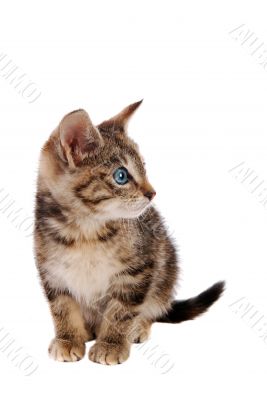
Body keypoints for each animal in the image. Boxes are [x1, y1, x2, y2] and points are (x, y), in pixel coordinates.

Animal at [34, 101, 226, 364]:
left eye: (144, 167)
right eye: (121, 176)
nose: (152, 193)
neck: (85, 230)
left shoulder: (138, 270)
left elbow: (121, 311)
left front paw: (111, 344)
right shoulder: (52, 272)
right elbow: (62, 307)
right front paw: (68, 338)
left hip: (166, 269)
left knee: (153, 307)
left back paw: (138, 327)